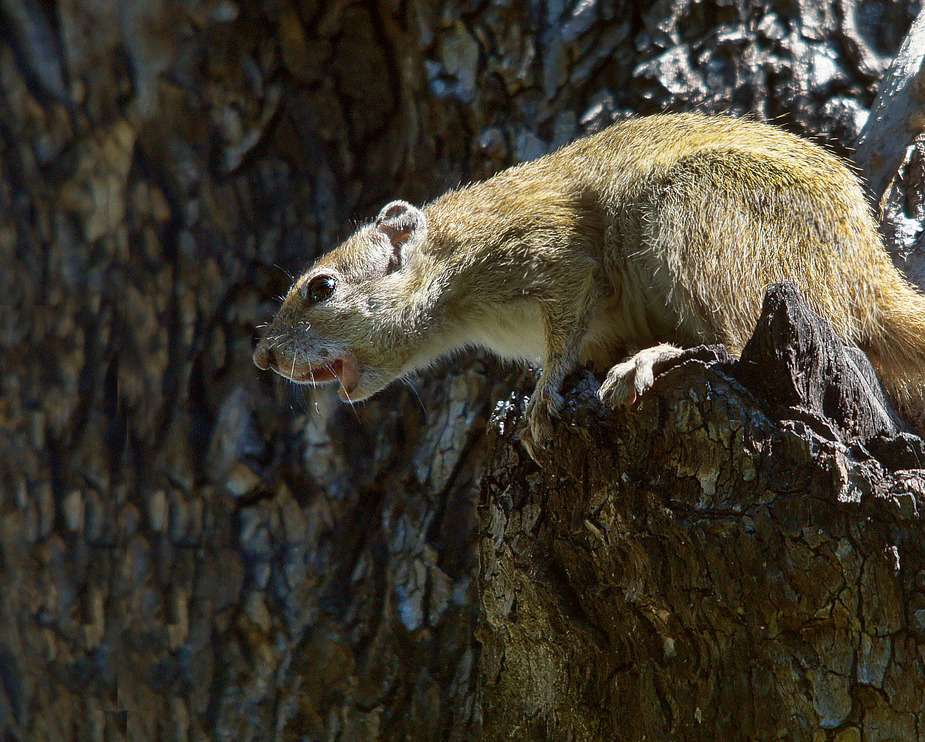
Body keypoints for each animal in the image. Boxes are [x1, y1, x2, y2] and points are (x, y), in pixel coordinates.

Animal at [251, 112, 924, 460]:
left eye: (321, 287)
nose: (262, 357)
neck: (449, 261)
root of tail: (866, 273)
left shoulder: (552, 253)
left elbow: (568, 316)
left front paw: (542, 396)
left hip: (703, 221)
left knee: (732, 341)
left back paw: (654, 358)